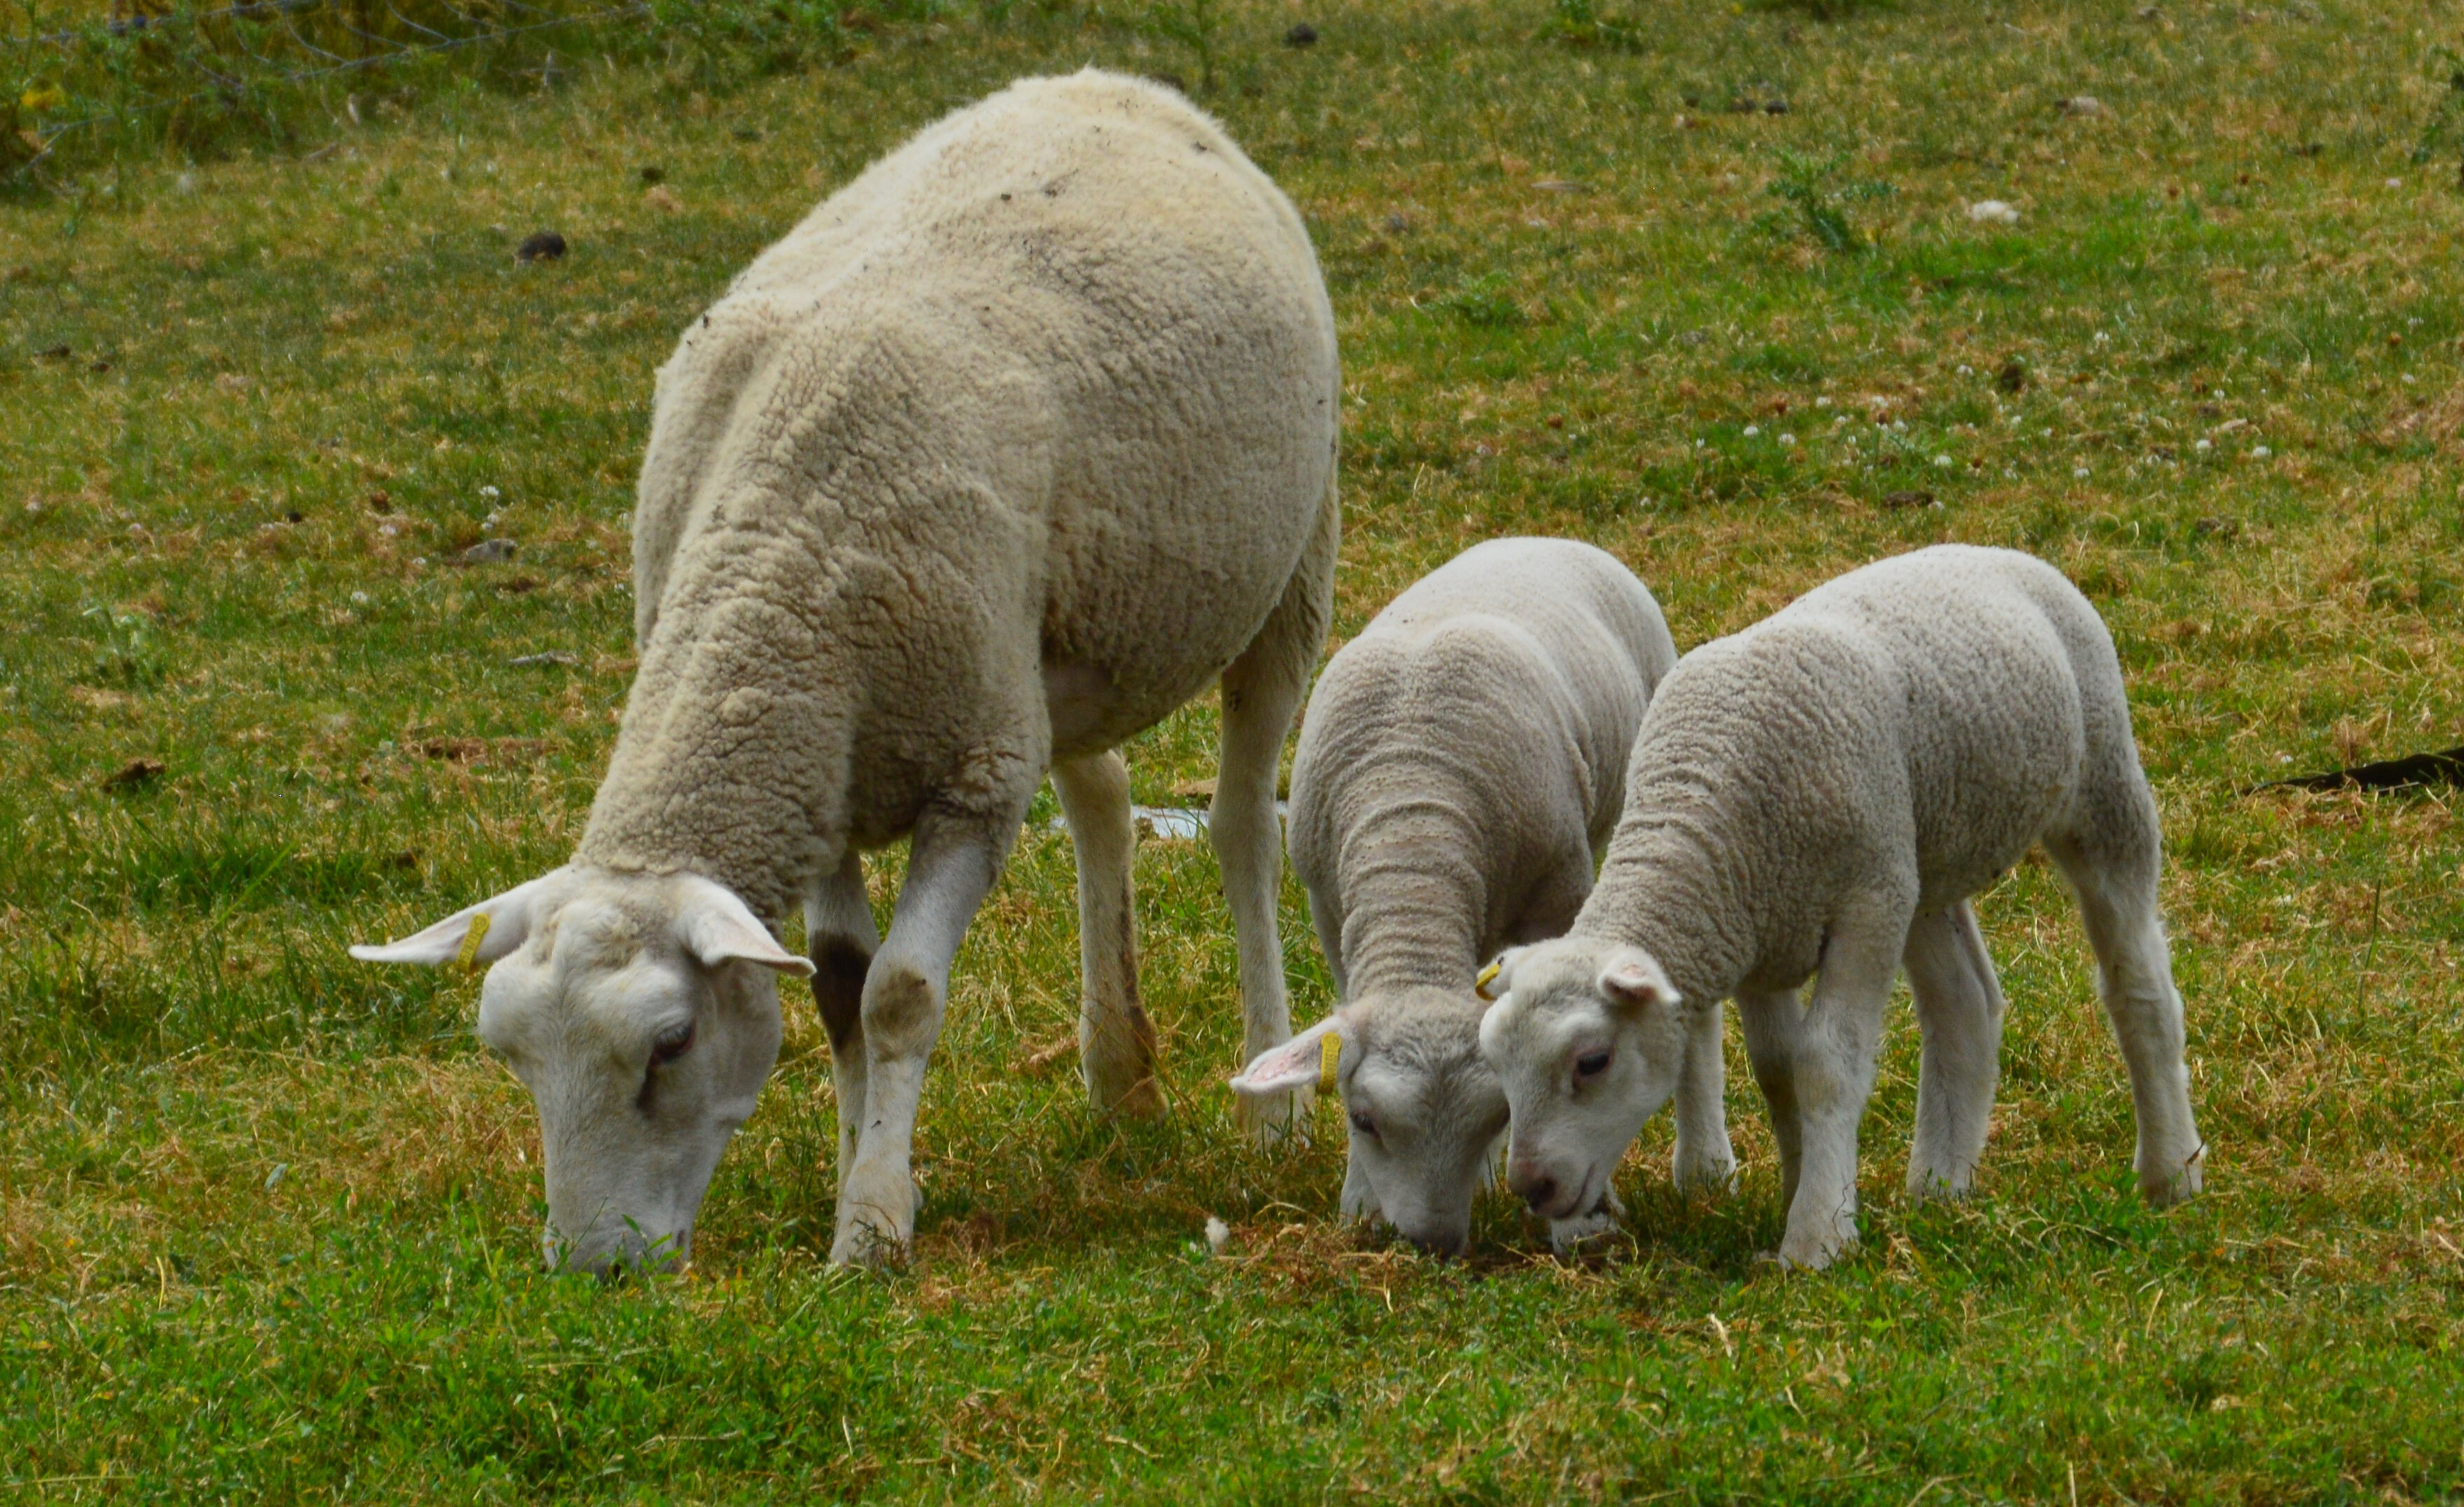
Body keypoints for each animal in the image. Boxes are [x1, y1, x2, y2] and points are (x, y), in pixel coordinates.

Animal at [355, 67, 1340, 1273]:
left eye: (669, 1043)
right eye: (510, 1055)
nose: (594, 1270)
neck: (767, 580)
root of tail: (1102, 80)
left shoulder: (971, 772)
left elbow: (900, 995)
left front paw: (870, 1225)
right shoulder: (821, 761)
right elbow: (833, 988)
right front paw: (863, 1169)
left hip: (1292, 565)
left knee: (1245, 824)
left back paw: (1272, 1106)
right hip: (1059, 644)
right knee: (1100, 798)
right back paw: (1120, 1076)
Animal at [1232, 538, 1734, 1258]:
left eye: (1497, 1111)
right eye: (1363, 1118)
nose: (1433, 1243)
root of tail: (1542, 538)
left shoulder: (1558, 886)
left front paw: (1575, 1219)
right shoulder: (1328, 908)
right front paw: (1361, 1201)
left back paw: (1706, 1168)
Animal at [1468, 545, 2207, 1273]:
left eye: (1592, 1061)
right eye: (1496, 1062)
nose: (1532, 1186)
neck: (1702, 808)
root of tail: (1993, 552)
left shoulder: (1864, 907)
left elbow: (1825, 1064)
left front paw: (1814, 1238)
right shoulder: (1757, 929)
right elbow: (1776, 1071)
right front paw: (1808, 1190)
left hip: (2096, 789)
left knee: (2137, 984)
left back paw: (2170, 1171)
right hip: (1920, 862)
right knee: (1964, 1003)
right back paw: (1939, 1187)